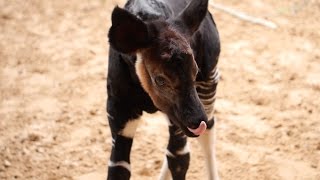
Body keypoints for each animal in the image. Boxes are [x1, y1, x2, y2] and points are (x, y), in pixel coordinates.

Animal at [107, 0, 220, 179]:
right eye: (160, 79)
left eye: (195, 72)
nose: (197, 121)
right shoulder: (119, 115)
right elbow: (118, 168)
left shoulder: (181, 118)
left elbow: (179, 159)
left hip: (209, 81)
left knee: (207, 131)